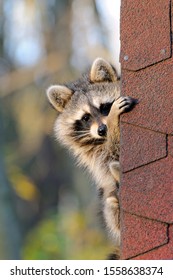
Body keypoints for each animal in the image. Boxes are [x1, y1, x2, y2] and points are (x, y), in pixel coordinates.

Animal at [46, 58, 136, 258]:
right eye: (86, 117)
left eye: (104, 107)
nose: (103, 129)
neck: (101, 139)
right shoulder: (95, 156)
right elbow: (110, 155)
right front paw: (113, 121)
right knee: (109, 203)